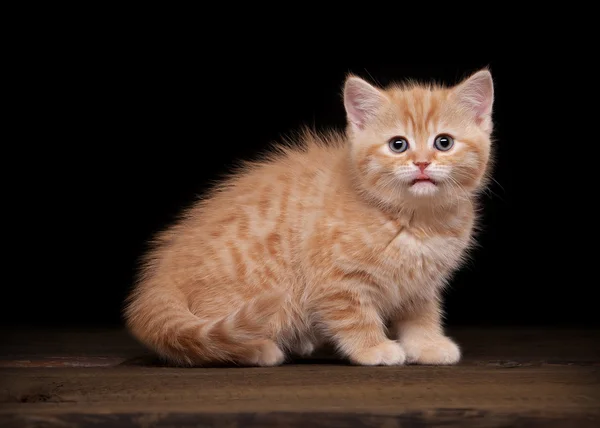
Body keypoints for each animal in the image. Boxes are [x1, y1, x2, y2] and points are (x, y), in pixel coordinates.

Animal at [124, 68, 494, 366]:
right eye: (398, 145)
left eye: (443, 142)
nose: (421, 163)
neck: (418, 220)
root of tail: (161, 276)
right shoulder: (335, 279)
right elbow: (354, 316)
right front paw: (374, 348)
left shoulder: (421, 284)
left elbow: (421, 315)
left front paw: (428, 345)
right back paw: (257, 349)